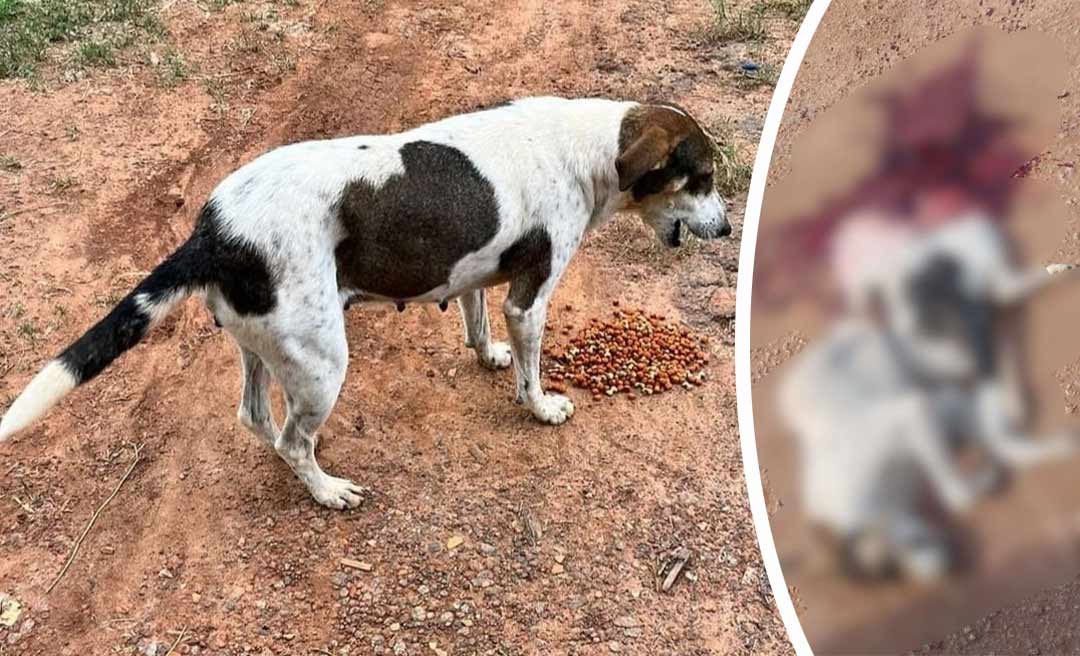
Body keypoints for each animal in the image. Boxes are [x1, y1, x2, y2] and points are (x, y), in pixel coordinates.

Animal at [0, 96, 730, 507]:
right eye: (702, 179)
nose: (727, 229)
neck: (591, 146)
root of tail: (213, 231)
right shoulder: (530, 298)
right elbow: (530, 371)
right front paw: (542, 406)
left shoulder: (475, 275)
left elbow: (475, 324)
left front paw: (488, 356)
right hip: (325, 361)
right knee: (293, 438)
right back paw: (326, 492)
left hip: (264, 345)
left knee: (258, 419)